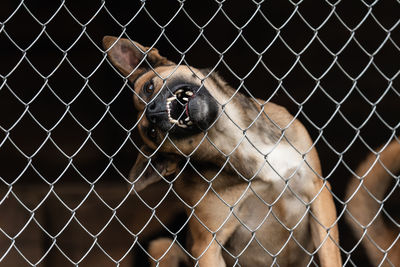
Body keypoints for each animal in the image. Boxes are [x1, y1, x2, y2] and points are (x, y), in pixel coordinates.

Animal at [102, 36, 340, 267]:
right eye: (152, 133)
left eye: (149, 88)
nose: (153, 112)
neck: (233, 137)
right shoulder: (206, 246)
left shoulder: (317, 190)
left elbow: (330, 256)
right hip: (160, 246)